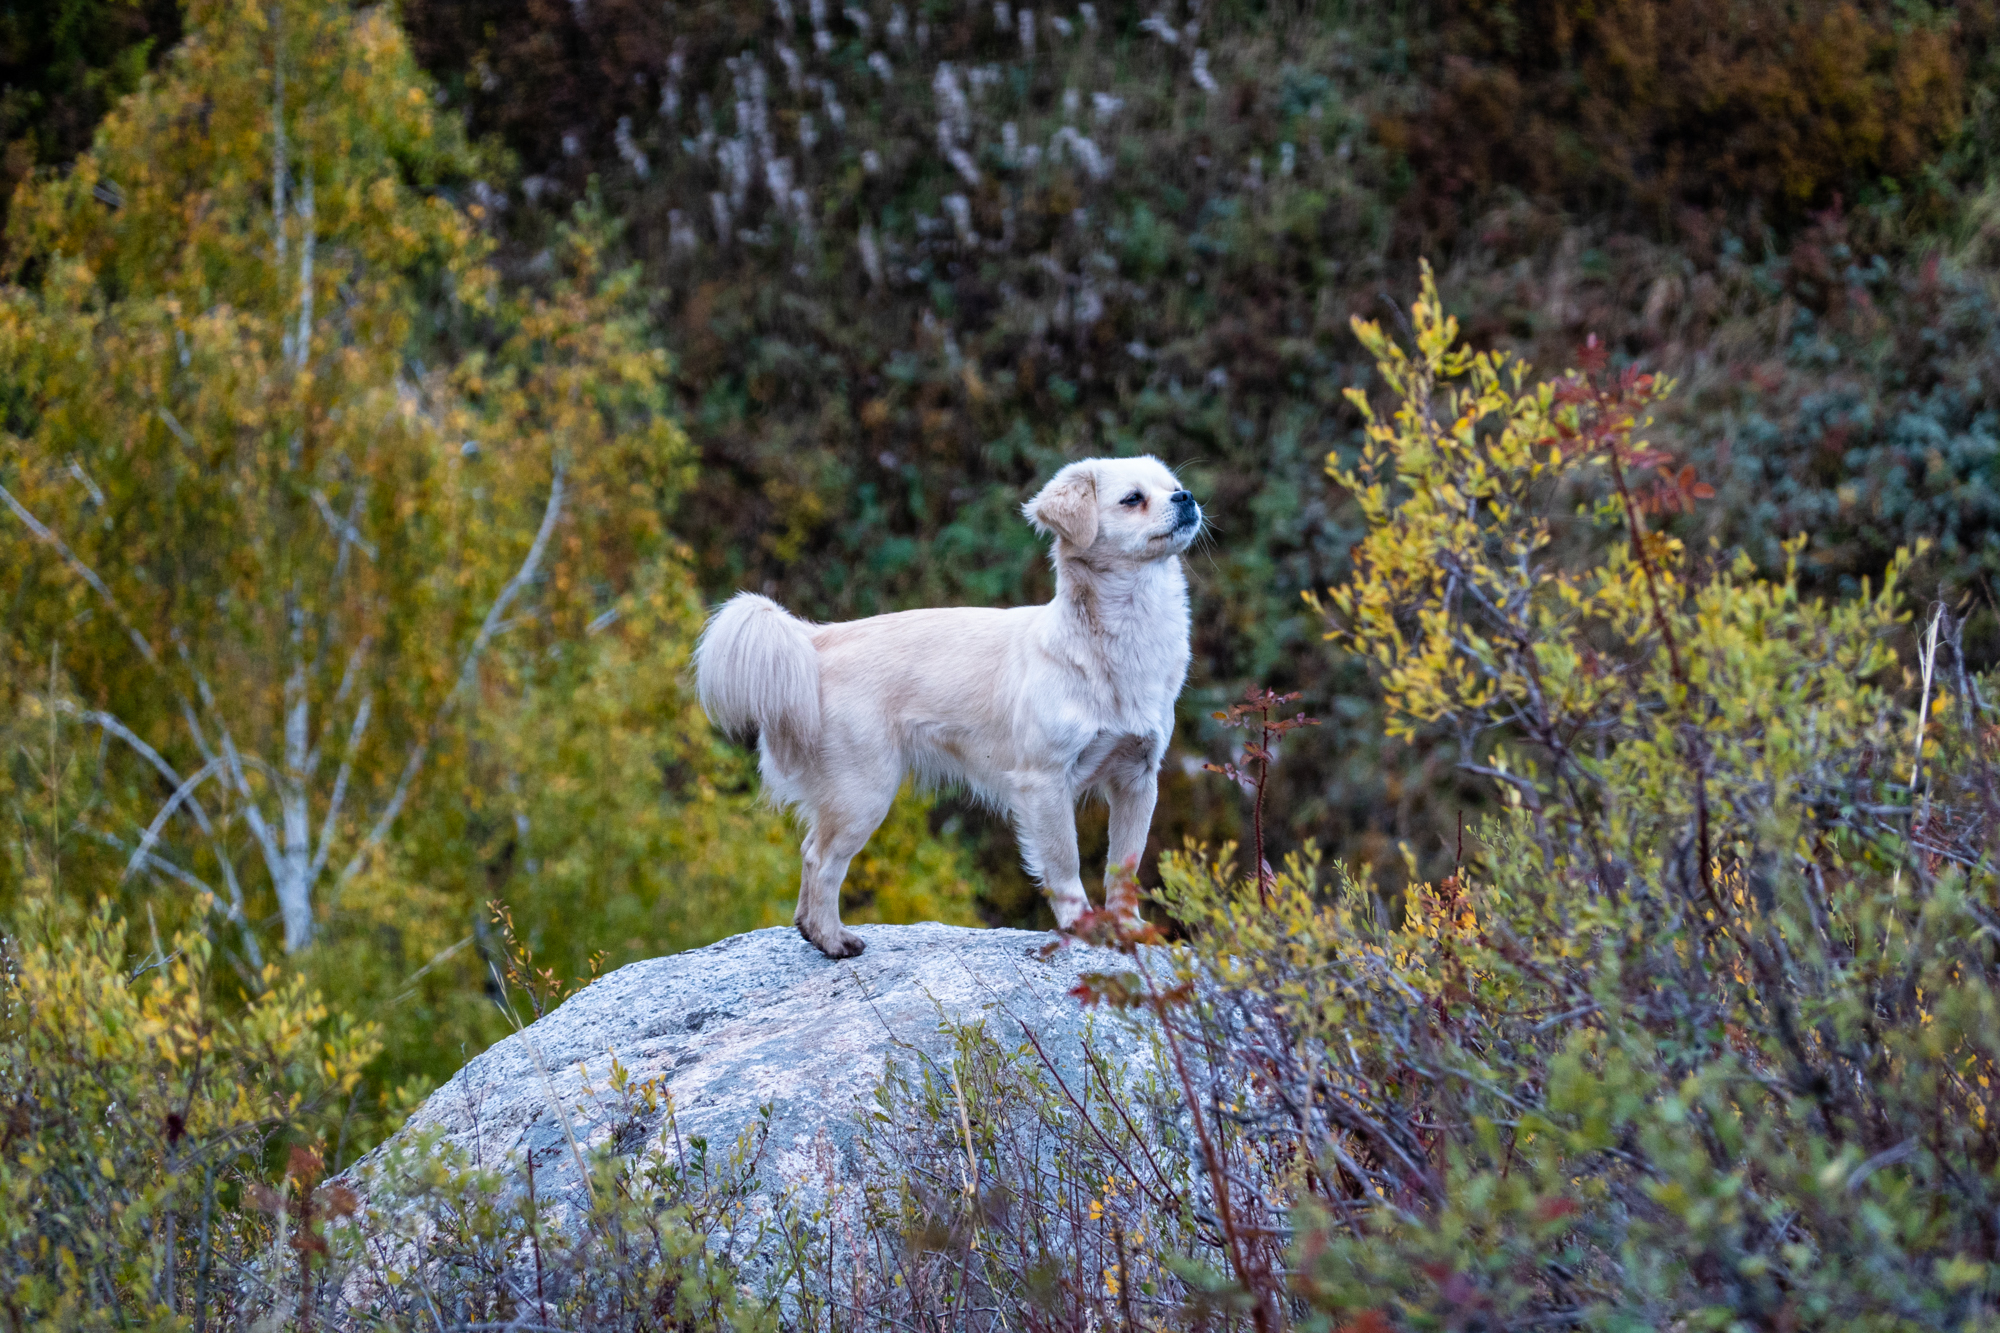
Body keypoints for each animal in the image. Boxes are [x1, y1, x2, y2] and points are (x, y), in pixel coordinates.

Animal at [696, 456, 1192, 956]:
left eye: (1174, 486)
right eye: (1133, 499)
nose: (1186, 498)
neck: (1122, 636)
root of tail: (817, 642)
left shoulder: (1136, 778)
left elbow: (1125, 865)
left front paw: (1127, 927)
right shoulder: (1045, 783)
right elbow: (1064, 860)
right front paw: (1082, 924)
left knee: (809, 850)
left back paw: (812, 932)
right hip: (864, 793)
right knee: (822, 859)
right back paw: (833, 939)